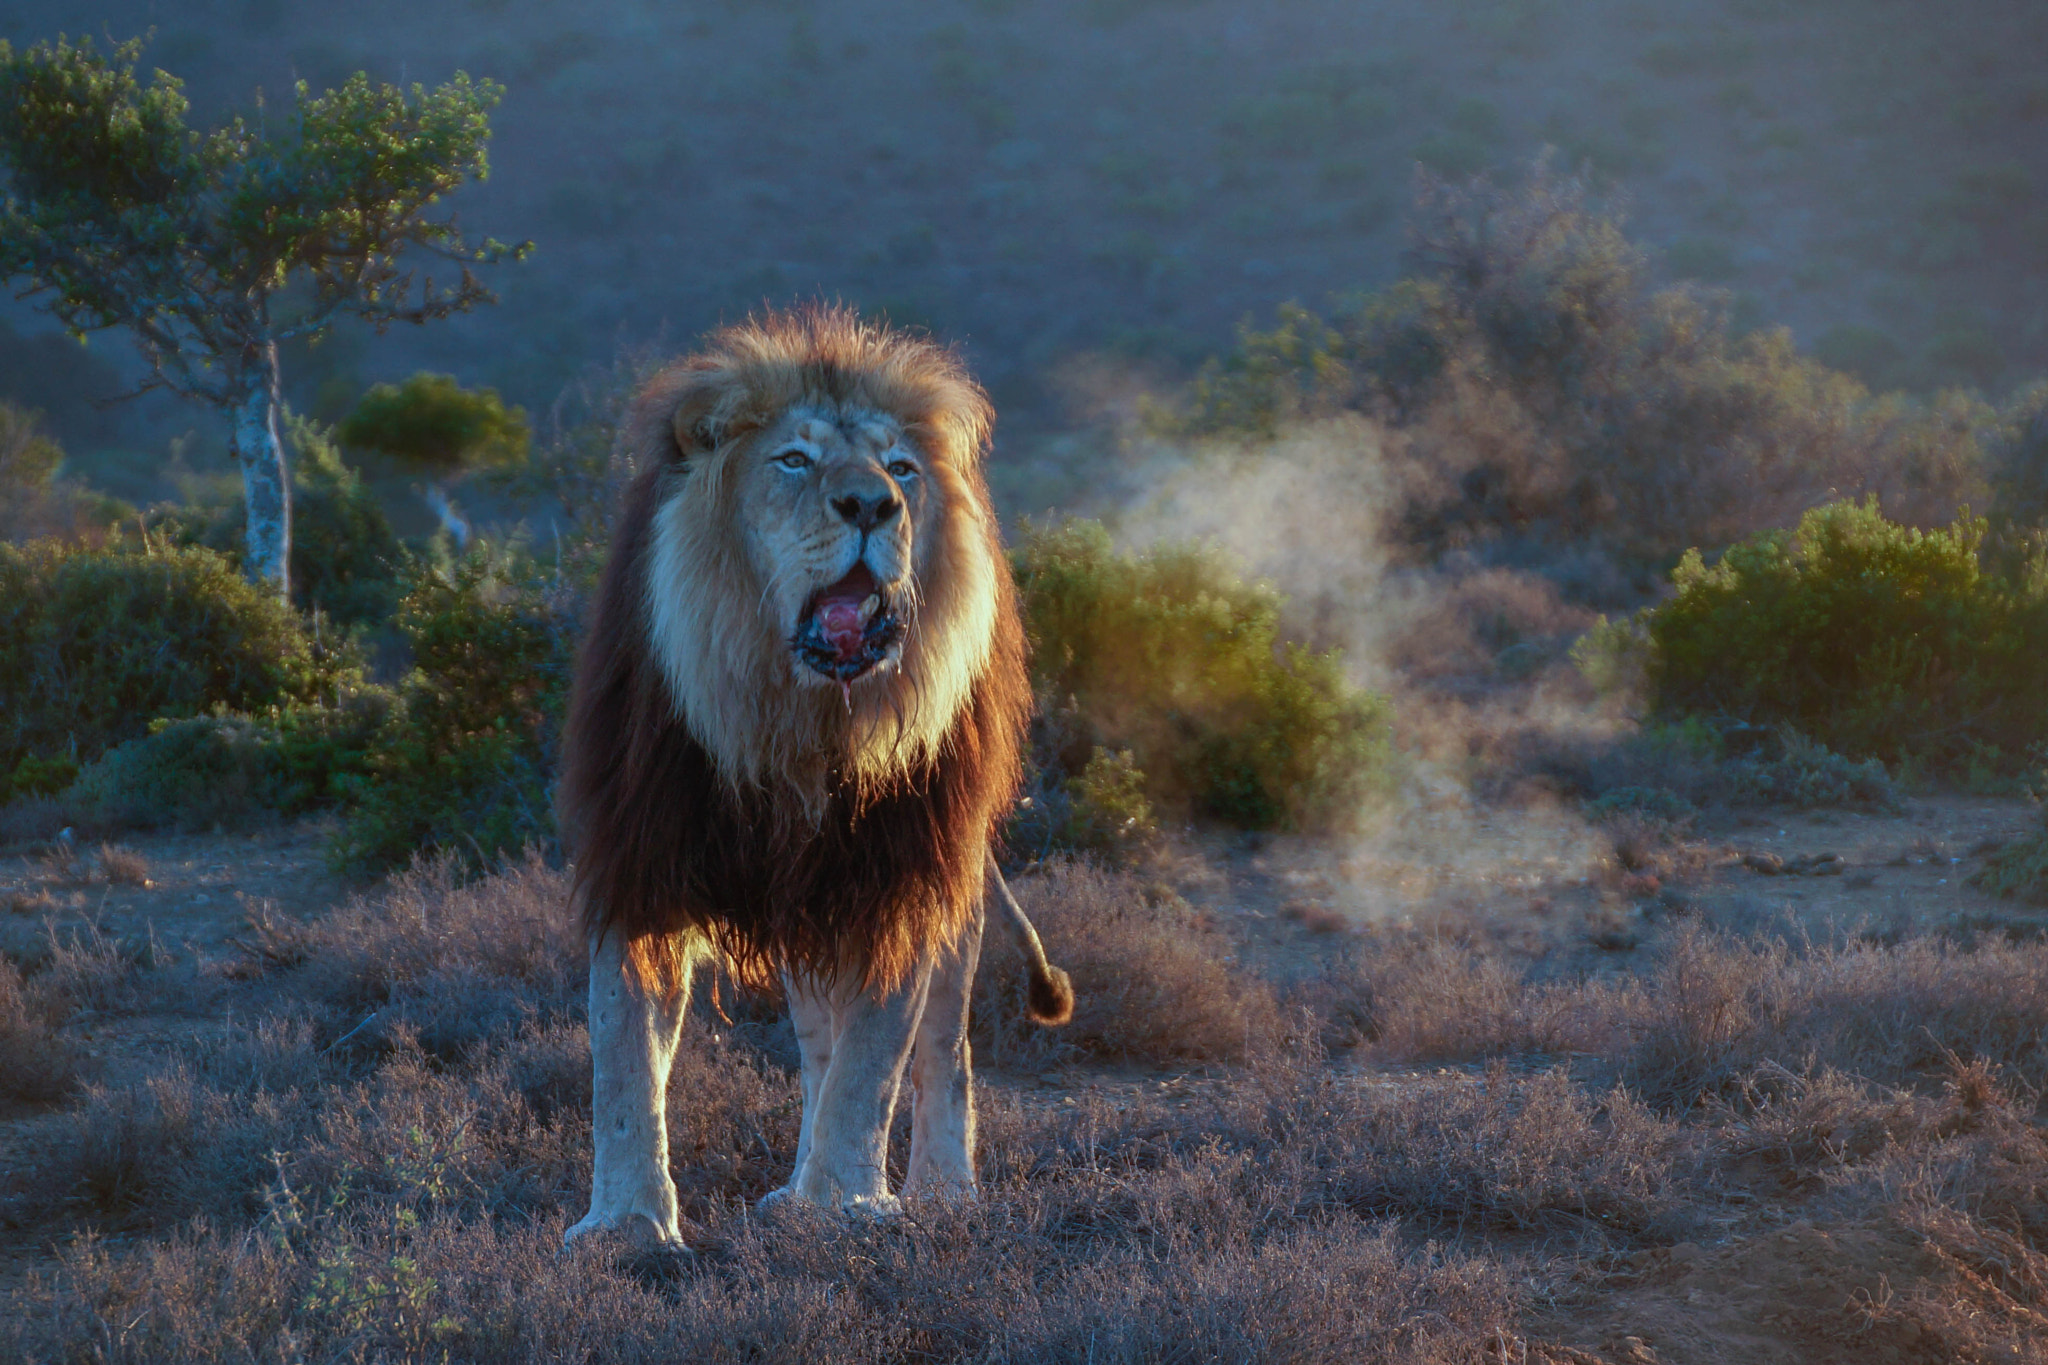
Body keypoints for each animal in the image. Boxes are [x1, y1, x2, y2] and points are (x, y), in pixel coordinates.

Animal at [560, 306, 1070, 1247]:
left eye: (901, 468)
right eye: (793, 459)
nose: (873, 504)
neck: (799, 723)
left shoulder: (900, 873)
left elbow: (875, 1060)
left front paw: (849, 1203)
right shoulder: (640, 851)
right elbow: (622, 1053)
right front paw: (628, 1224)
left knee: (943, 1047)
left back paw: (942, 1192)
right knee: (816, 1046)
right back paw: (795, 1187)